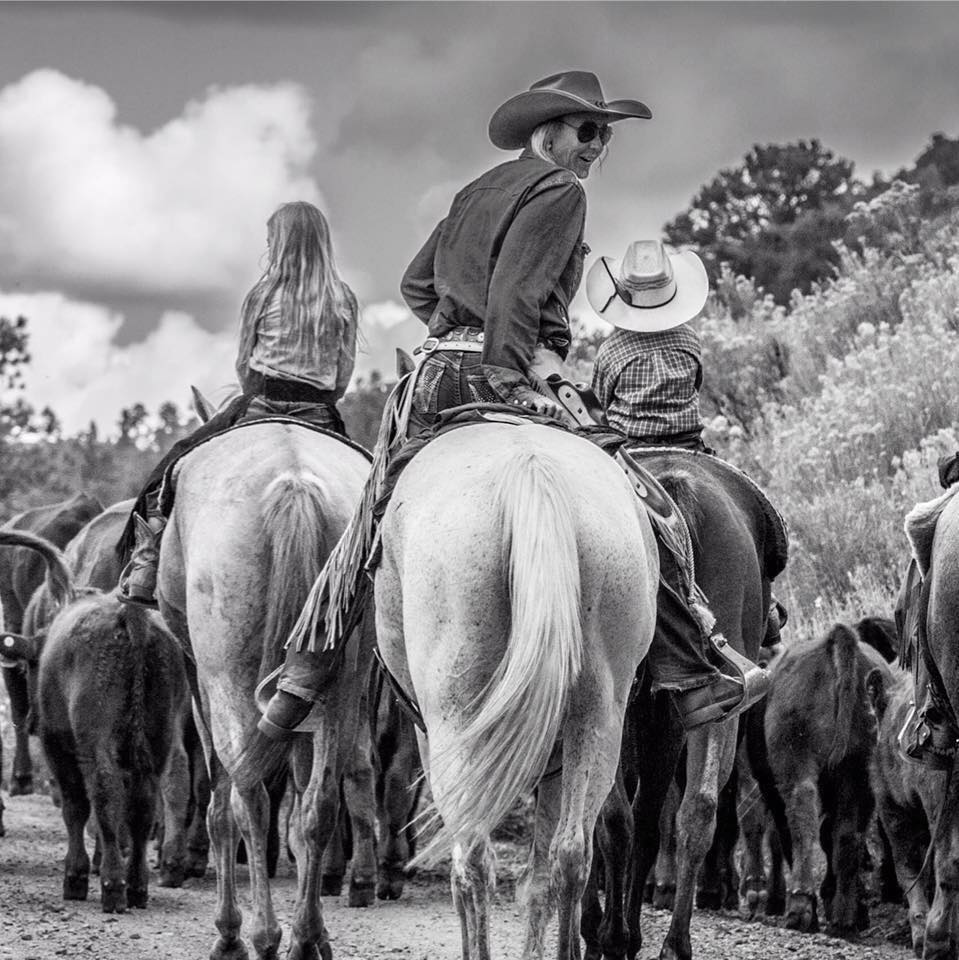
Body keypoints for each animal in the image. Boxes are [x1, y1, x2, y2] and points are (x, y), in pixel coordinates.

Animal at [584, 450, 788, 960]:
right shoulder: (667, 721)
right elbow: (651, 818)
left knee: (614, 819)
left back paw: (611, 936)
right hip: (713, 703)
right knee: (696, 810)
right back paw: (671, 944)